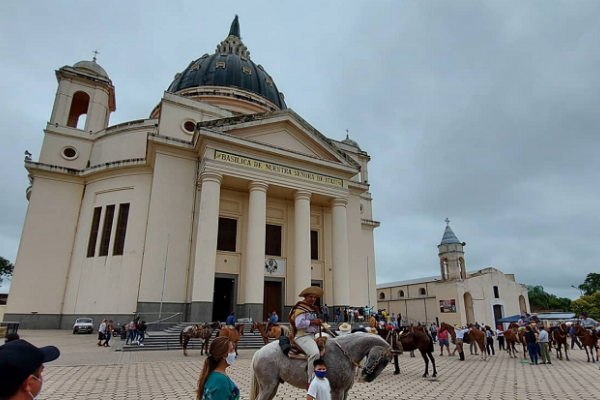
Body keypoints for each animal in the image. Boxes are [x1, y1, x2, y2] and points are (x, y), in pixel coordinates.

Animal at [250, 332, 394, 400]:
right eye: (386, 360)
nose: (367, 377)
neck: (345, 351)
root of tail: (258, 352)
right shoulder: (337, 391)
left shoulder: (345, 391)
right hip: (268, 386)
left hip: (273, 387)